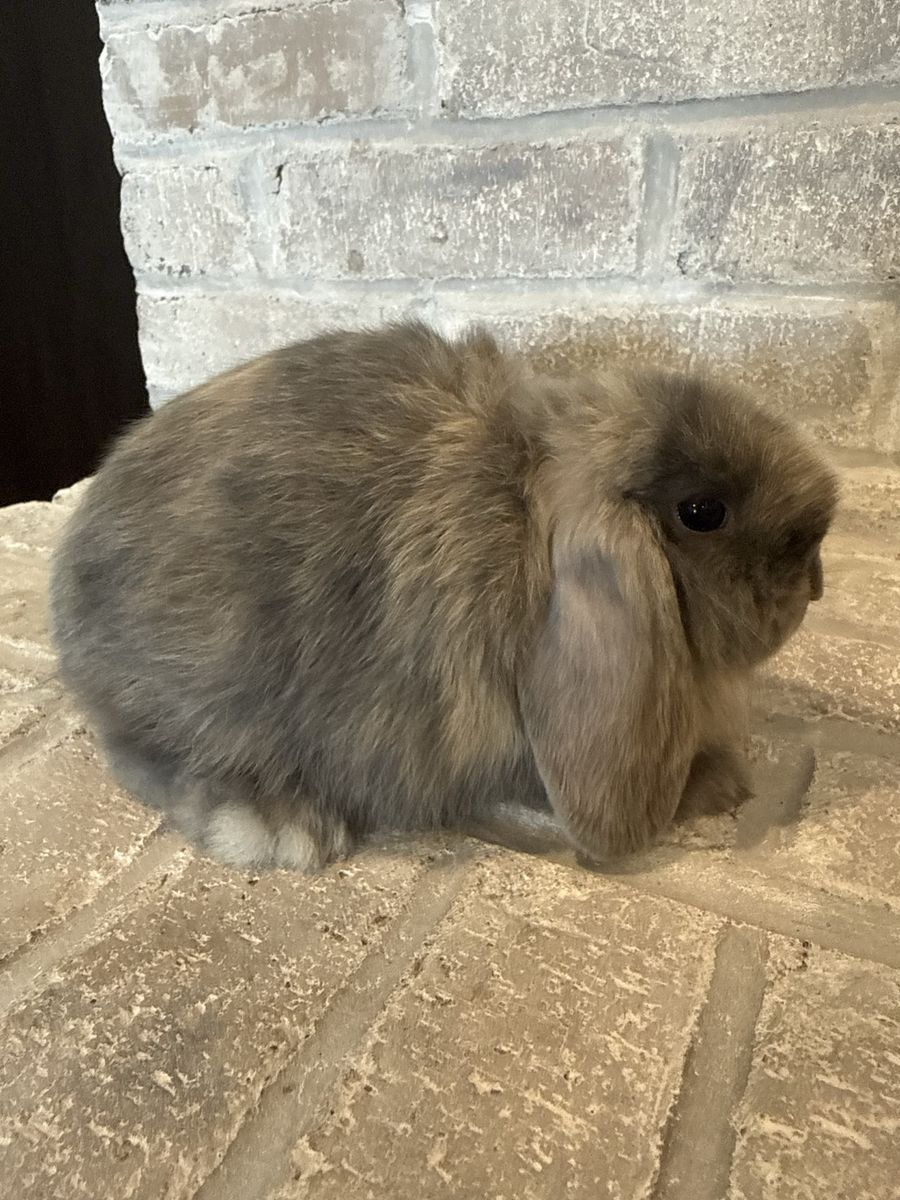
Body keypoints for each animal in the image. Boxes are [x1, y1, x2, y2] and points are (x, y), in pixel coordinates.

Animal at [50, 320, 838, 871]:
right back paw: (280, 825)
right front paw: (717, 787)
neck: (527, 517)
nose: (816, 575)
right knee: (144, 757)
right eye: (703, 511)